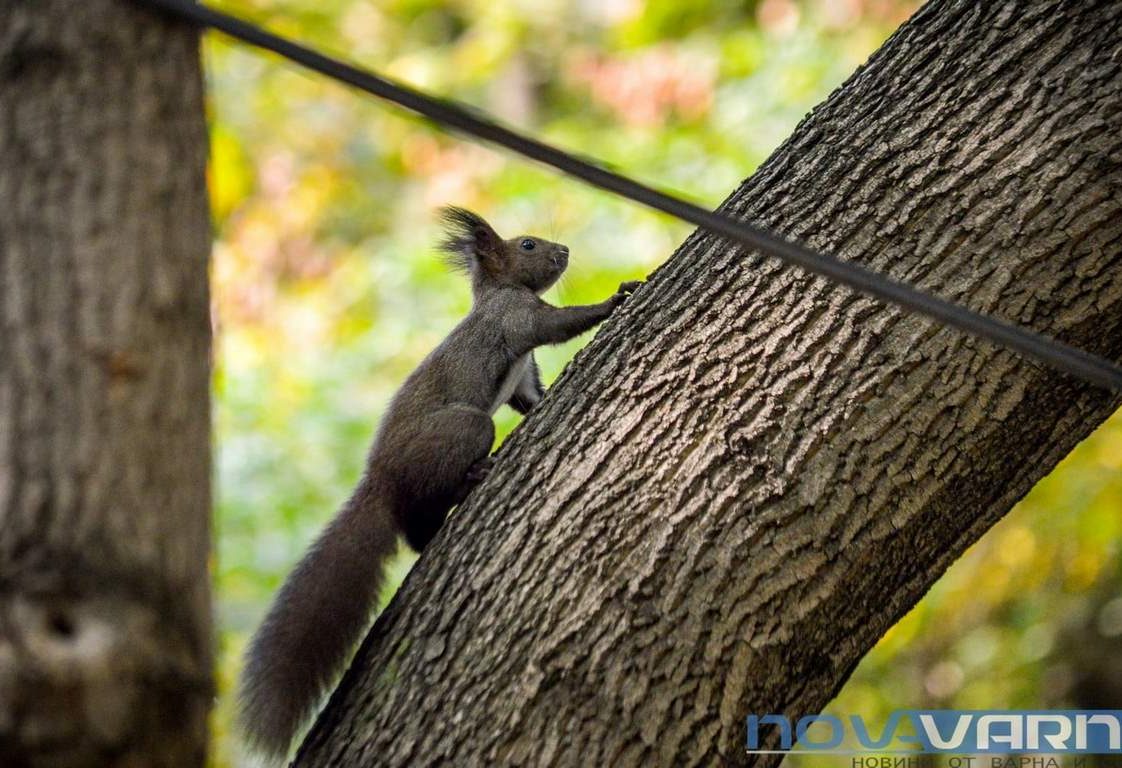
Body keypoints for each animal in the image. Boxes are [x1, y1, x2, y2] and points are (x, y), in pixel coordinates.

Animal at [237, 206, 641, 760]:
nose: (564, 251)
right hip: (465, 429)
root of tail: (381, 481)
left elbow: (530, 399)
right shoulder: (515, 318)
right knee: (426, 512)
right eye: (528, 245)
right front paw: (615, 299)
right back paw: (473, 478)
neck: (496, 291)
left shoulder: (523, 375)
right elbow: (557, 324)